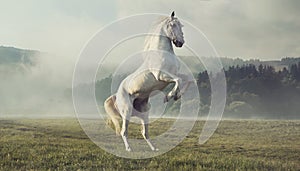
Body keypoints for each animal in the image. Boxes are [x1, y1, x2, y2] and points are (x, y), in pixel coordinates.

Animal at [104, 11, 191, 151]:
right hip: (126, 112)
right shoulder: (161, 75)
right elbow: (178, 80)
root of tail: (117, 95)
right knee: (124, 131)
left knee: (145, 133)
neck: (161, 53)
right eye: (173, 25)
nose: (180, 42)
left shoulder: (174, 74)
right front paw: (169, 96)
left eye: (181, 26)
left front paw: (176, 96)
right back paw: (129, 149)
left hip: (144, 113)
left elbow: (187, 79)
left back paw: (154, 149)